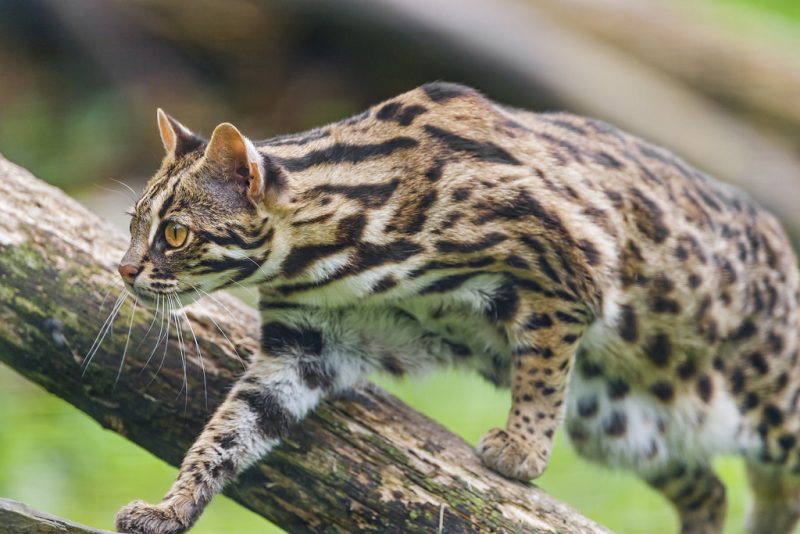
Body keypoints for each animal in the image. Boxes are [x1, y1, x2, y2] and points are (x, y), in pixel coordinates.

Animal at [112, 82, 800, 534]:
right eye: (133, 223)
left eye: (174, 233)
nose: (123, 269)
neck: (324, 262)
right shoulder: (305, 346)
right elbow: (230, 430)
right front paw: (173, 506)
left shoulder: (568, 275)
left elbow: (541, 368)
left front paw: (521, 448)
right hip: (620, 427)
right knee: (711, 490)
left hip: (772, 407)